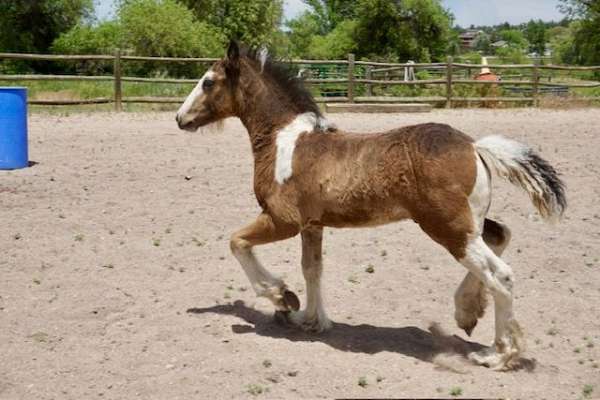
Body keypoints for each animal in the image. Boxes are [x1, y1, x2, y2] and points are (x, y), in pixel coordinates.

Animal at [176, 42, 564, 370]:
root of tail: (475, 146)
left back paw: (498, 355)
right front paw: (310, 320)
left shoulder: (282, 220)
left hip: (449, 228)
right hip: (469, 223)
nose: (180, 118)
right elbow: (312, 269)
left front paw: (283, 297)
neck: (284, 142)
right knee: (501, 237)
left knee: (501, 275)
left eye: (208, 82)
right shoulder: (312, 225)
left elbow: (237, 242)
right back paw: (467, 312)